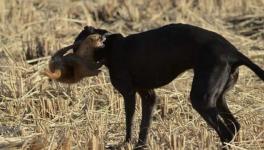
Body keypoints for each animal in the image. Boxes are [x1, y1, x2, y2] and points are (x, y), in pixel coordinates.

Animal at [72, 23, 264, 149]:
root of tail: (233, 52)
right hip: (217, 98)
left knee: (225, 131)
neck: (108, 45)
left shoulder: (128, 94)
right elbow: (144, 125)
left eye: (75, 46)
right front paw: (140, 146)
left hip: (201, 98)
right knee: (234, 126)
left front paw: (125, 144)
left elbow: (129, 121)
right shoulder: (148, 96)